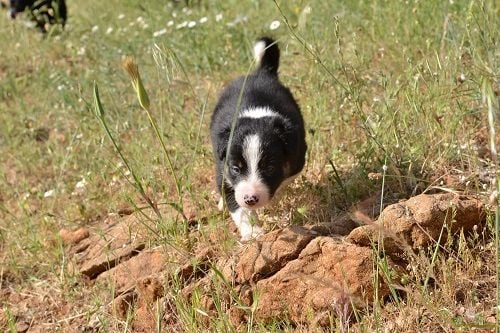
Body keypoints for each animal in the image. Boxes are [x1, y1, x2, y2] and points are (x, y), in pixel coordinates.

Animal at [210, 37, 306, 241]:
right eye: (236, 168)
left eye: (269, 167)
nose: (251, 199)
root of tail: (260, 73)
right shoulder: (223, 168)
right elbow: (238, 207)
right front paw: (253, 233)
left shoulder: (297, 159)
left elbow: (283, 181)